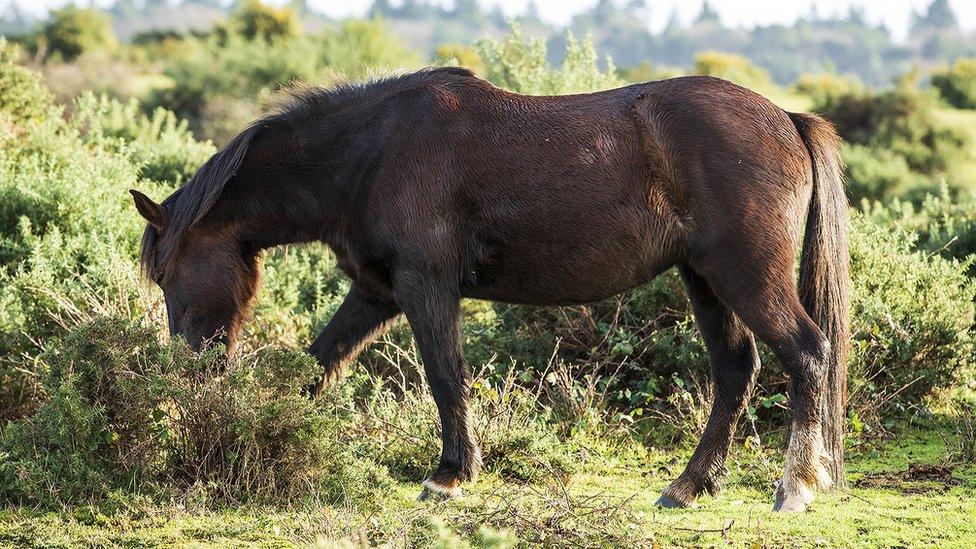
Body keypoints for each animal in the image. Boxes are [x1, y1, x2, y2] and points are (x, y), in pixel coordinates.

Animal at [133, 66, 852, 512]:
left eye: (165, 273)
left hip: (744, 275)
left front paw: (450, 475)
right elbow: (319, 362)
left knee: (807, 354)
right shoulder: (377, 292)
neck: (371, 152)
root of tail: (786, 118)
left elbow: (444, 374)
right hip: (704, 279)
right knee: (735, 369)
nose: (191, 369)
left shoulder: (425, 287)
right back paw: (689, 485)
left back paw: (794, 487)